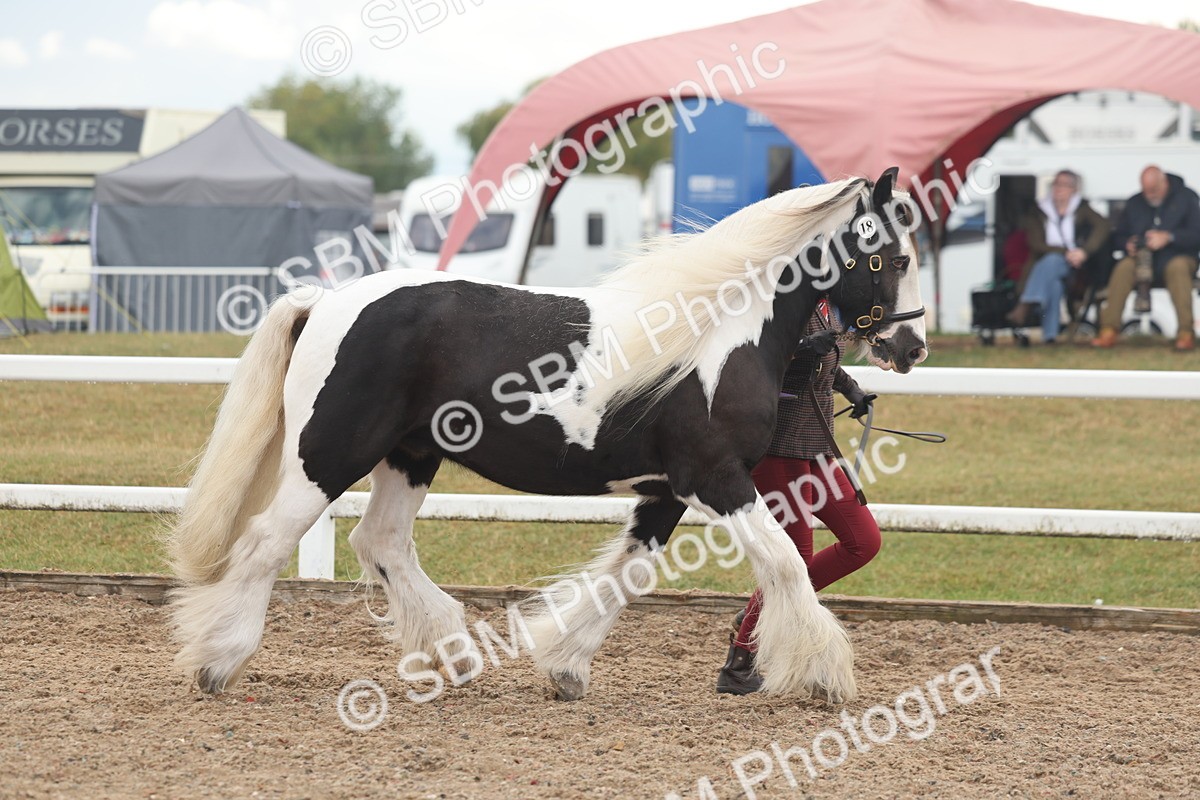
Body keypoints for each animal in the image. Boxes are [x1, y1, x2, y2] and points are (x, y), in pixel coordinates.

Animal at [166, 167, 927, 704]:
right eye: (892, 256)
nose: (912, 346)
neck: (718, 338)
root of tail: (325, 300)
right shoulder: (716, 479)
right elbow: (787, 564)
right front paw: (825, 676)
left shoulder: (665, 492)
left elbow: (628, 575)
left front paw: (563, 668)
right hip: (329, 455)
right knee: (265, 542)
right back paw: (218, 662)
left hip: (410, 456)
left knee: (380, 542)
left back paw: (454, 655)